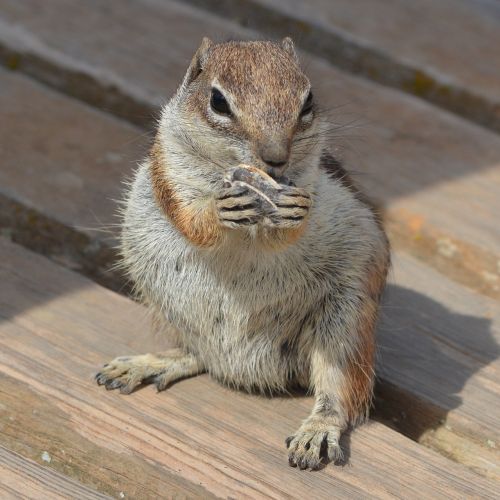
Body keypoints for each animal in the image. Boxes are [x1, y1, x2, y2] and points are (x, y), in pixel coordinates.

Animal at [94, 38, 390, 468]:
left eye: (308, 101)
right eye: (218, 101)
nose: (276, 158)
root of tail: (247, 370)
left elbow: (287, 229)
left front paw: (293, 212)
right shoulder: (168, 168)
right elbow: (190, 219)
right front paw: (218, 210)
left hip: (346, 319)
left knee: (340, 391)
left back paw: (318, 428)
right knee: (199, 354)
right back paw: (153, 362)